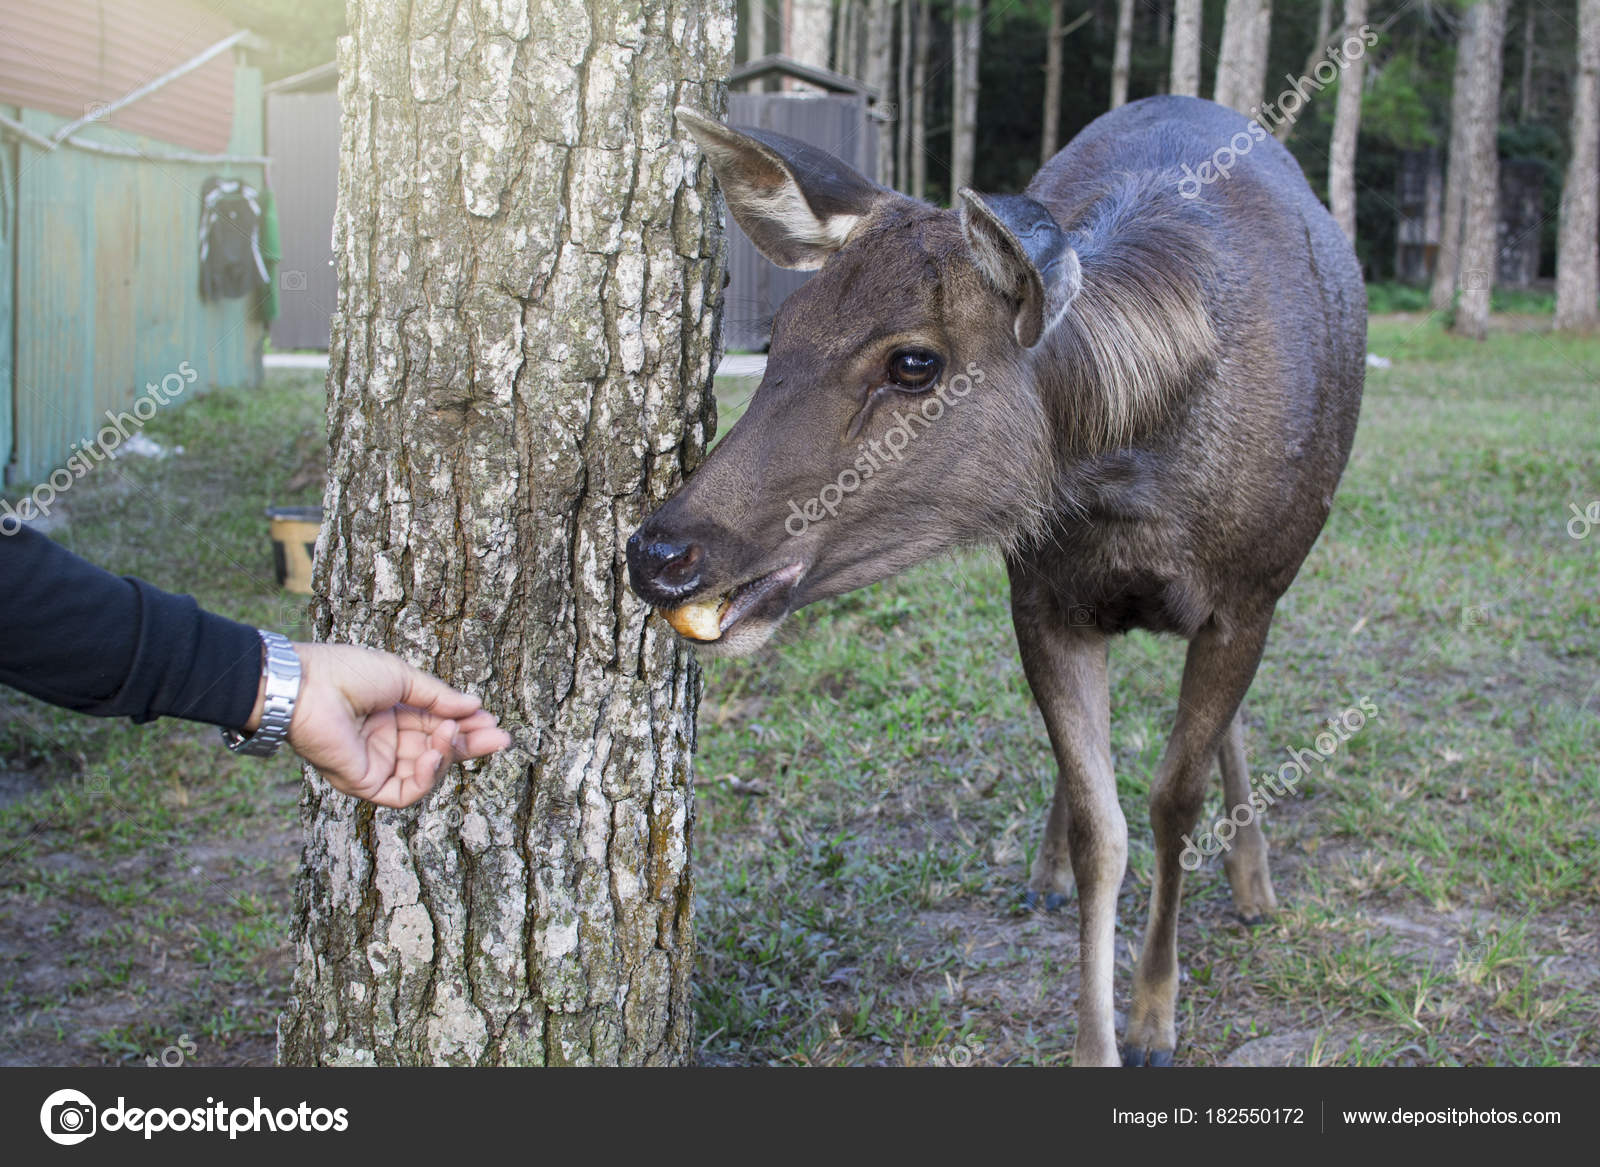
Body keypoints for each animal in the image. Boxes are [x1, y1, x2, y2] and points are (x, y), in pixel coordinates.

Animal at [624, 98, 1363, 1062]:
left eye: (914, 362)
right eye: (779, 336)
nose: (661, 551)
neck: (1134, 478)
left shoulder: (1248, 593)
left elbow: (1174, 801)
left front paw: (1155, 1018)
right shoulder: (1040, 596)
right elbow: (1100, 829)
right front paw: (1096, 1041)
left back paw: (1254, 886)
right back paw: (1052, 872)